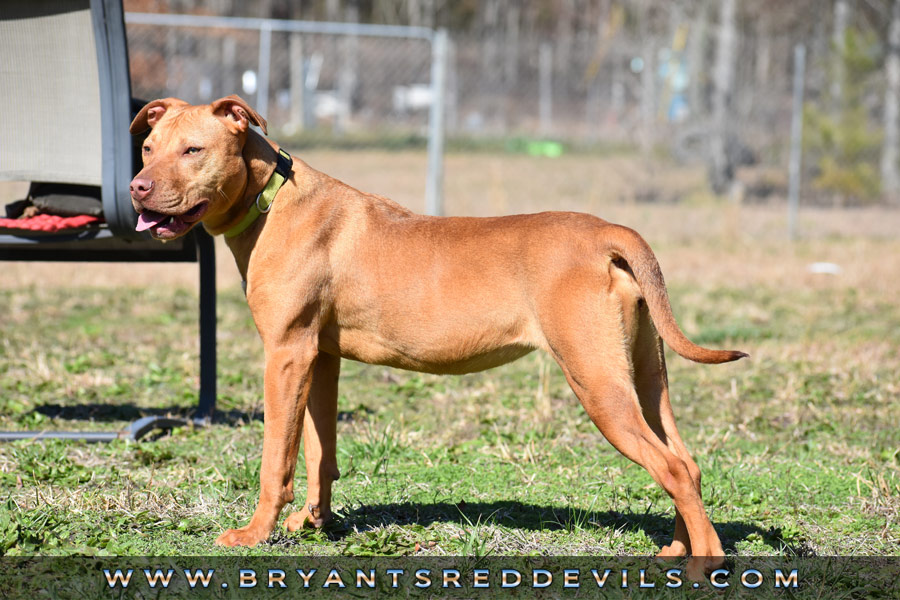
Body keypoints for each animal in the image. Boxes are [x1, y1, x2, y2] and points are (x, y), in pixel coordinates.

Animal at [128, 96, 744, 580]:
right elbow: (319, 451)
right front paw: (314, 523)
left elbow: (275, 458)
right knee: (684, 462)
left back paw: (705, 563)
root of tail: (608, 233)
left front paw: (257, 533)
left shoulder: (286, 354)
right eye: (149, 148)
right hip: (644, 379)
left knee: (672, 467)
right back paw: (679, 548)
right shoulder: (320, 358)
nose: (137, 187)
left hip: (597, 383)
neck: (271, 198)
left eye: (193, 151)